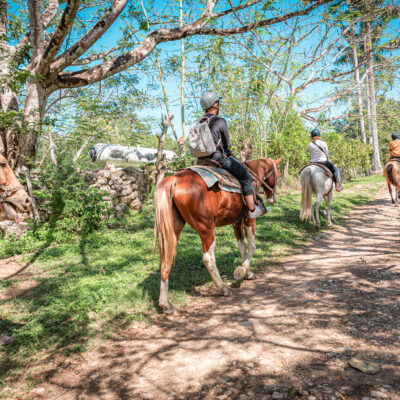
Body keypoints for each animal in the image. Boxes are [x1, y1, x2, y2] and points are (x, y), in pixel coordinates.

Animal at [153, 158, 282, 314]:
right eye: (277, 174)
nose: (273, 198)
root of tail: (175, 178)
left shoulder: (236, 222)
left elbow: (242, 247)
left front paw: (247, 273)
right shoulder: (249, 219)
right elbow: (252, 246)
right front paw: (241, 271)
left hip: (173, 228)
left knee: (166, 259)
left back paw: (166, 304)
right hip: (207, 229)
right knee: (208, 258)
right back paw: (223, 289)